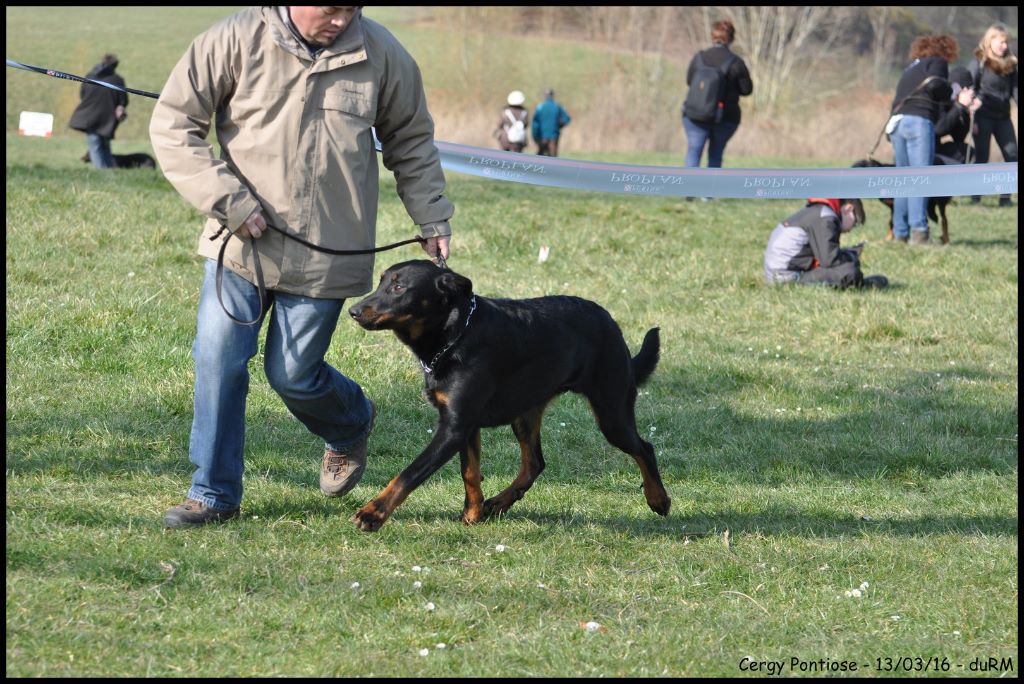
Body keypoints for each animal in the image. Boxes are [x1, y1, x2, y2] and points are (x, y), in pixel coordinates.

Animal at [346, 259, 671, 532]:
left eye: (400, 287)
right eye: (381, 282)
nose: (354, 311)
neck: (455, 335)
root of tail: (610, 321)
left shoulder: (454, 428)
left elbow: (409, 473)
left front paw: (372, 513)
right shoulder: (466, 425)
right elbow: (470, 472)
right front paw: (473, 514)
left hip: (611, 410)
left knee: (644, 448)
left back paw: (658, 499)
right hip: (526, 412)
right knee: (534, 463)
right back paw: (498, 503)